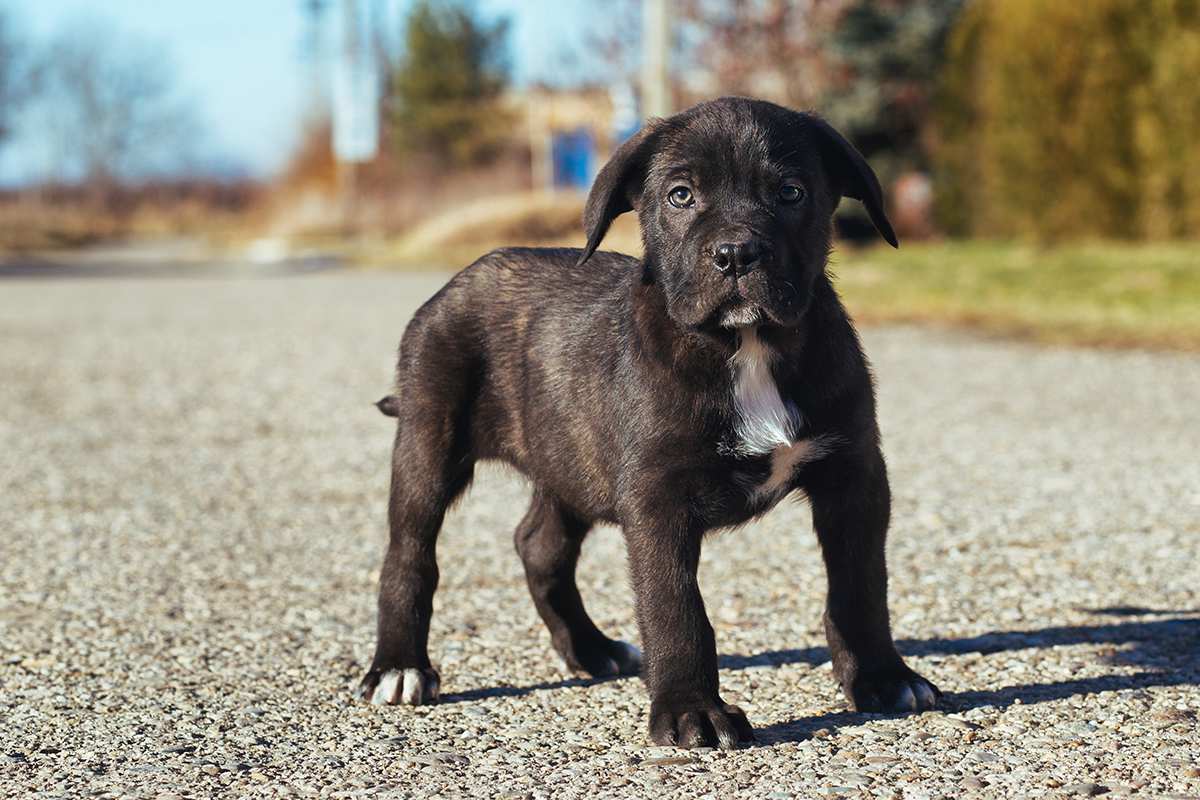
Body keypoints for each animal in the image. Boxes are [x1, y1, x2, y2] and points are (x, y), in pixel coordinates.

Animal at [355, 97, 936, 748]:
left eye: (791, 192)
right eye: (681, 195)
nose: (736, 254)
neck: (746, 345)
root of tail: (456, 281)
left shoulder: (853, 474)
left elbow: (861, 585)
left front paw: (884, 677)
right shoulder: (658, 496)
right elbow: (675, 607)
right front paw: (691, 711)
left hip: (568, 459)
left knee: (540, 545)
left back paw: (591, 649)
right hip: (429, 440)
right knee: (410, 554)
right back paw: (399, 668)